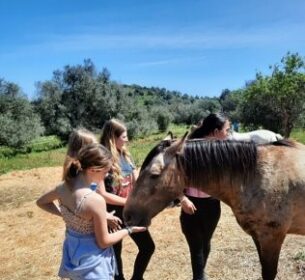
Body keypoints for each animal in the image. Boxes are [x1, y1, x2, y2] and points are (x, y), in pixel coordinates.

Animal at [122, 136, 304, 280]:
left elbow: (269, 273)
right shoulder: (258, 237)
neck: (257, 175)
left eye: (154, 175)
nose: (127, 215)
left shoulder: (272, 238)